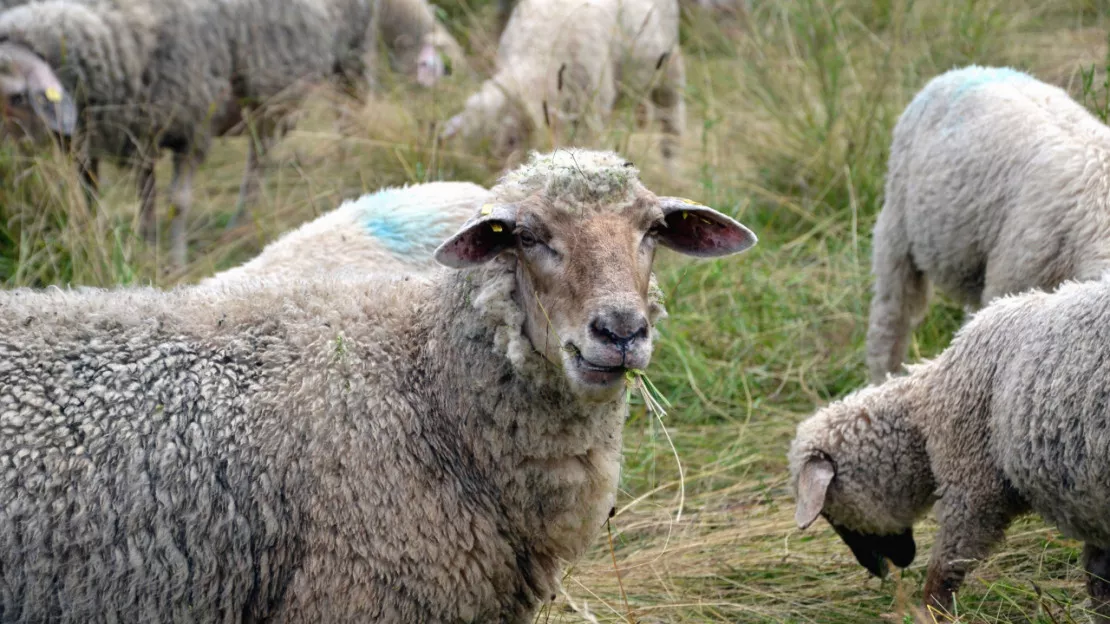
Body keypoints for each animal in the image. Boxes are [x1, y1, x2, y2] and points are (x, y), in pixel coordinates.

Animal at [790, 274, 1110, 617]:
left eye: (830, 512)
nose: (880, 570)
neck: (926, 409)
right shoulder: (1093, 508)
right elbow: (1099, 579)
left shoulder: (972, 490)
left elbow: (944, 573)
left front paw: (928, 613)